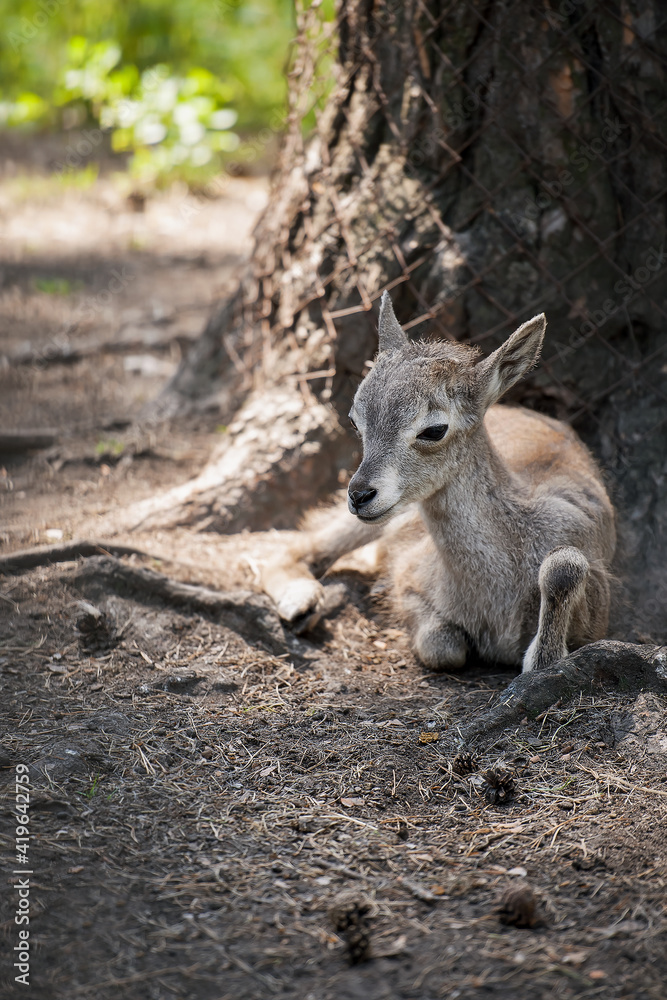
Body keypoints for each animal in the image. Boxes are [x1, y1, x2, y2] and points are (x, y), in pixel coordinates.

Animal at [260, 294, 616, 672]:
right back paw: (301, 603)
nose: (360, 495)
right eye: (355, 421)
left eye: (433, 429)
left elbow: (563, 570)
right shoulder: (411, 578)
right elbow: (442, 647)